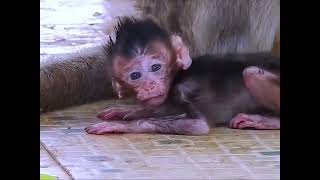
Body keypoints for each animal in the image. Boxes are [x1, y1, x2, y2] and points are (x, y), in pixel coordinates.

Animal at [85, 17, 280, 135]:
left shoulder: (185, 89)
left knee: (251, 72)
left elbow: (198, 126)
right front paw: (128, 110)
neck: (177, 77)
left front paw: (123, 126)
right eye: (135, 75)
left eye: (156, 67)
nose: (149, 85)